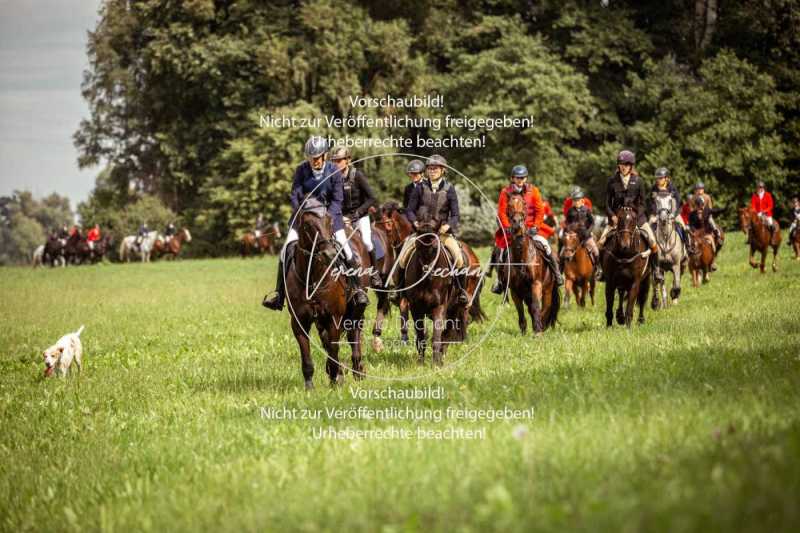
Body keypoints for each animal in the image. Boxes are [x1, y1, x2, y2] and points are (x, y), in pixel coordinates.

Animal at [496, 195, 560, 334]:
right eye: (509, 205)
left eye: (524, 204)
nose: (517, 222)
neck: (521, 256)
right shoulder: (515, 290)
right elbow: (520, 310)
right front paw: (524, 330)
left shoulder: (536, 284)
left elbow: (536, 306)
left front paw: (538, 330)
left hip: (547, 290)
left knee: (545, 308)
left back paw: (541, 325)